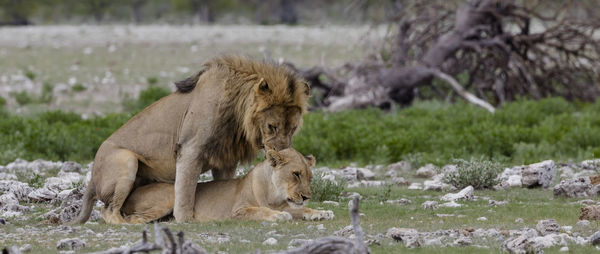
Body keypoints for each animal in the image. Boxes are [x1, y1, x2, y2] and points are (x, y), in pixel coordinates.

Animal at [73, 56, 310, 224]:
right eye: (272, 126)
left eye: (293, 128)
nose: (281, 155)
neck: (236, 116)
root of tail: (92, 178)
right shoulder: (190, 149)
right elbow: (185, 191)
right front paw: (185, 219)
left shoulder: (226, 158)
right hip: (126, 160)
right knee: (108, 211)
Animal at [119, 148, 336, 223]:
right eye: (296, 174)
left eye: (310, 177)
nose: (307, 196)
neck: (275, 194)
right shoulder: (238, 210)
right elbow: (260, 210)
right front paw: (278, 216)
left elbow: (300, 210)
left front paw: (320, 212)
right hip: (170, 196)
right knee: (133, 218)